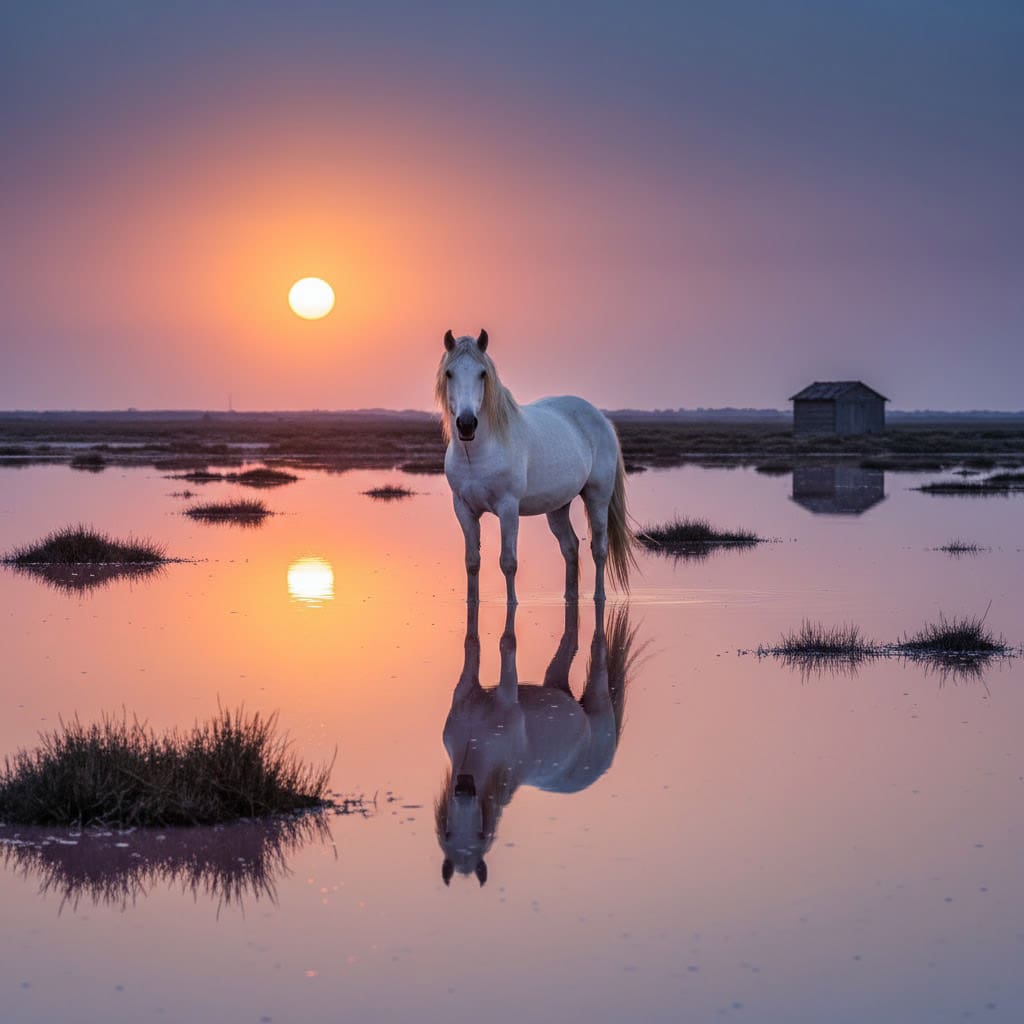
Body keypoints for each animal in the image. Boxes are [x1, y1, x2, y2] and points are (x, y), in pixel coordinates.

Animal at [435, 329, 637, 604]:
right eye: (449, 373)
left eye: (482, 373)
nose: (466, 424)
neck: (476, 456)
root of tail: (601, 417)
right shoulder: (463, 509)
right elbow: (472, 562)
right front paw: (472, 601)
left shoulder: (508, 508)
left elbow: (508, 562)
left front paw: (512, 604)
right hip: (558, 506)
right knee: (570, 547)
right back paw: (569, 597)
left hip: (598, 497)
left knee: (599, 548)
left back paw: (599, 596)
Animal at [436, 601, 640, 886]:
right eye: (447, 833)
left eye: (482, 833)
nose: (464, 789)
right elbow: (472, 644)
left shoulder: (507, 691)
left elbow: (507, 643)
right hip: (557, 680)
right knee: (570, 638)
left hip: (599, 691)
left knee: (598, 646)